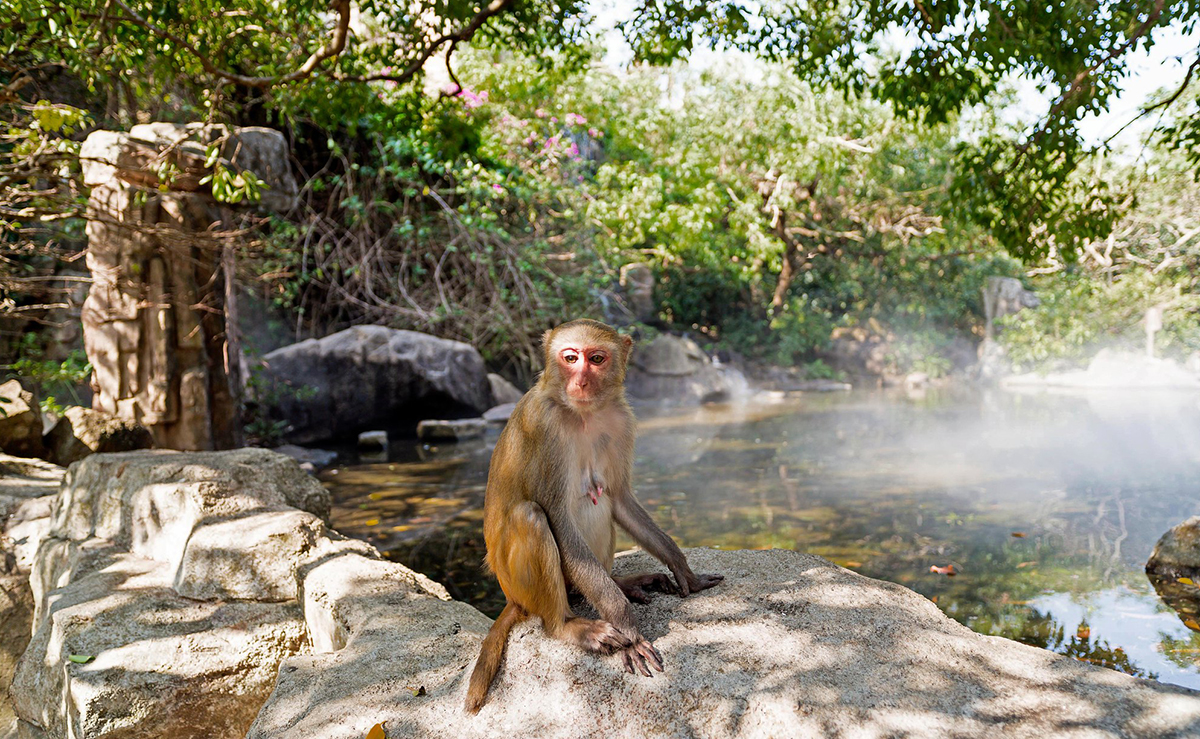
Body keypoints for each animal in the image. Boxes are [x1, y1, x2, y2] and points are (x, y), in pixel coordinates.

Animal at [463, 321, 715, 715]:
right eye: (570, 358)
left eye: (596, 359)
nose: (580, 381)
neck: (581, 413)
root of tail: (511, 598)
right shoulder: (544, 425)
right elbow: (558, 518)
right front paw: (628, 629)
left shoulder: (622, 419)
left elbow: (620, 498)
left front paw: (682, 568)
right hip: (519, 585)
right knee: (531, 516)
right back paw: (567, 625)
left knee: (600, 500)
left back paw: (622, 582)